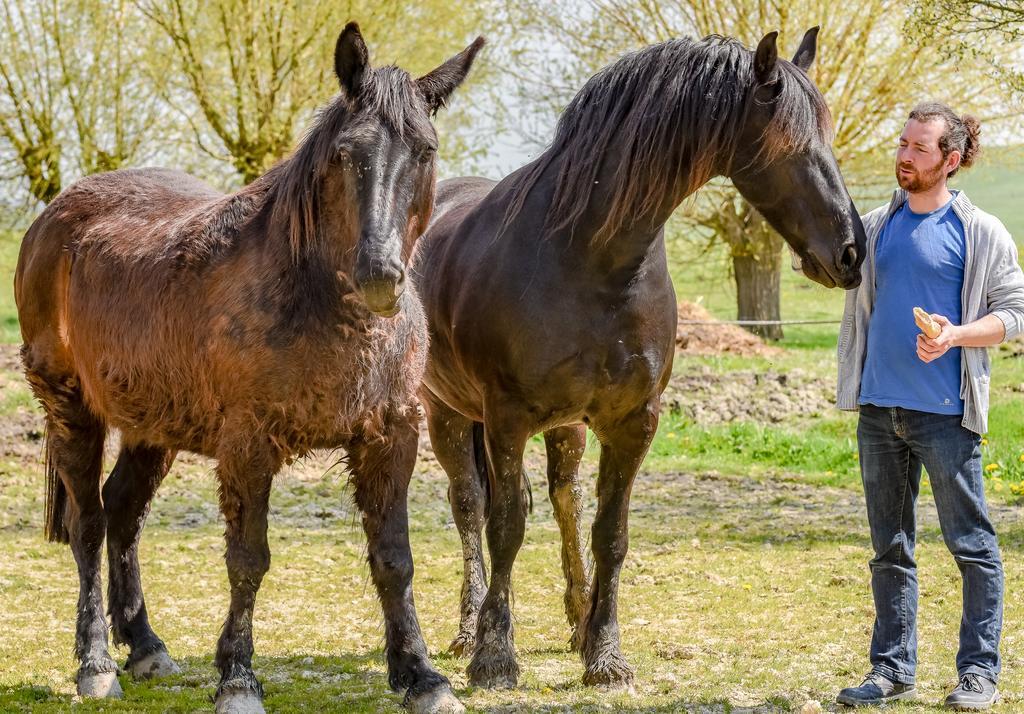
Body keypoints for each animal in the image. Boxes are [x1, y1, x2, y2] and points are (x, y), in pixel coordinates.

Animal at [12, 22, 483, 712]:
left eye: (425, 151)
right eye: (347, 154)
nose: (380, 276)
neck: (311, 296)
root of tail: (54, 214)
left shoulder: (390, 433)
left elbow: (394, 558)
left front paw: (421, 676)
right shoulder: (248, 443)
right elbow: (247, 560)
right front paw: (237, 677)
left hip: (154, 425)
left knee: (123, 512)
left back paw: (146, 648)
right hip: (70, 404)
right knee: (90, 525)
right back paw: (95, 663)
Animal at [411, 29, 868, 692]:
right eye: (791, 144)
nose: (852, 252)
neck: (590, 262)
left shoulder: (632, 422)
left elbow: (610, 533)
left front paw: (604, 654)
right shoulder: (505, 421)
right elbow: (505, 527)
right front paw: (495, 657)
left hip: (566, 427)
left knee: (566, 499)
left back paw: (576, 618)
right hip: (445, 412)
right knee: (470, 505)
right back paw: (470, 628)